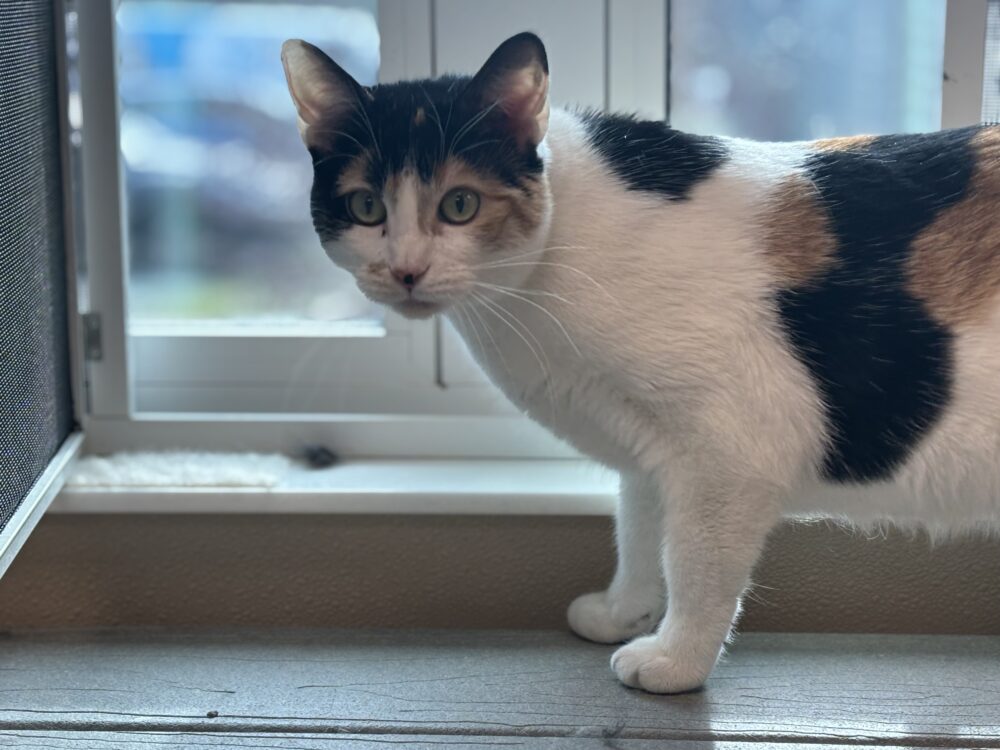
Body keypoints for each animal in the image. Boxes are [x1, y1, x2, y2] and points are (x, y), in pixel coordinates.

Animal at [282, 31, 1000, 694]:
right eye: (365, 207)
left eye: (460, 204)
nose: (405, 271)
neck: (558, 255)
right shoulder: (650, 453)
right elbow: (637, 532)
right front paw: (622, 613)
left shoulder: (727, 455)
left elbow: (694, 564)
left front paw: (674, 660)